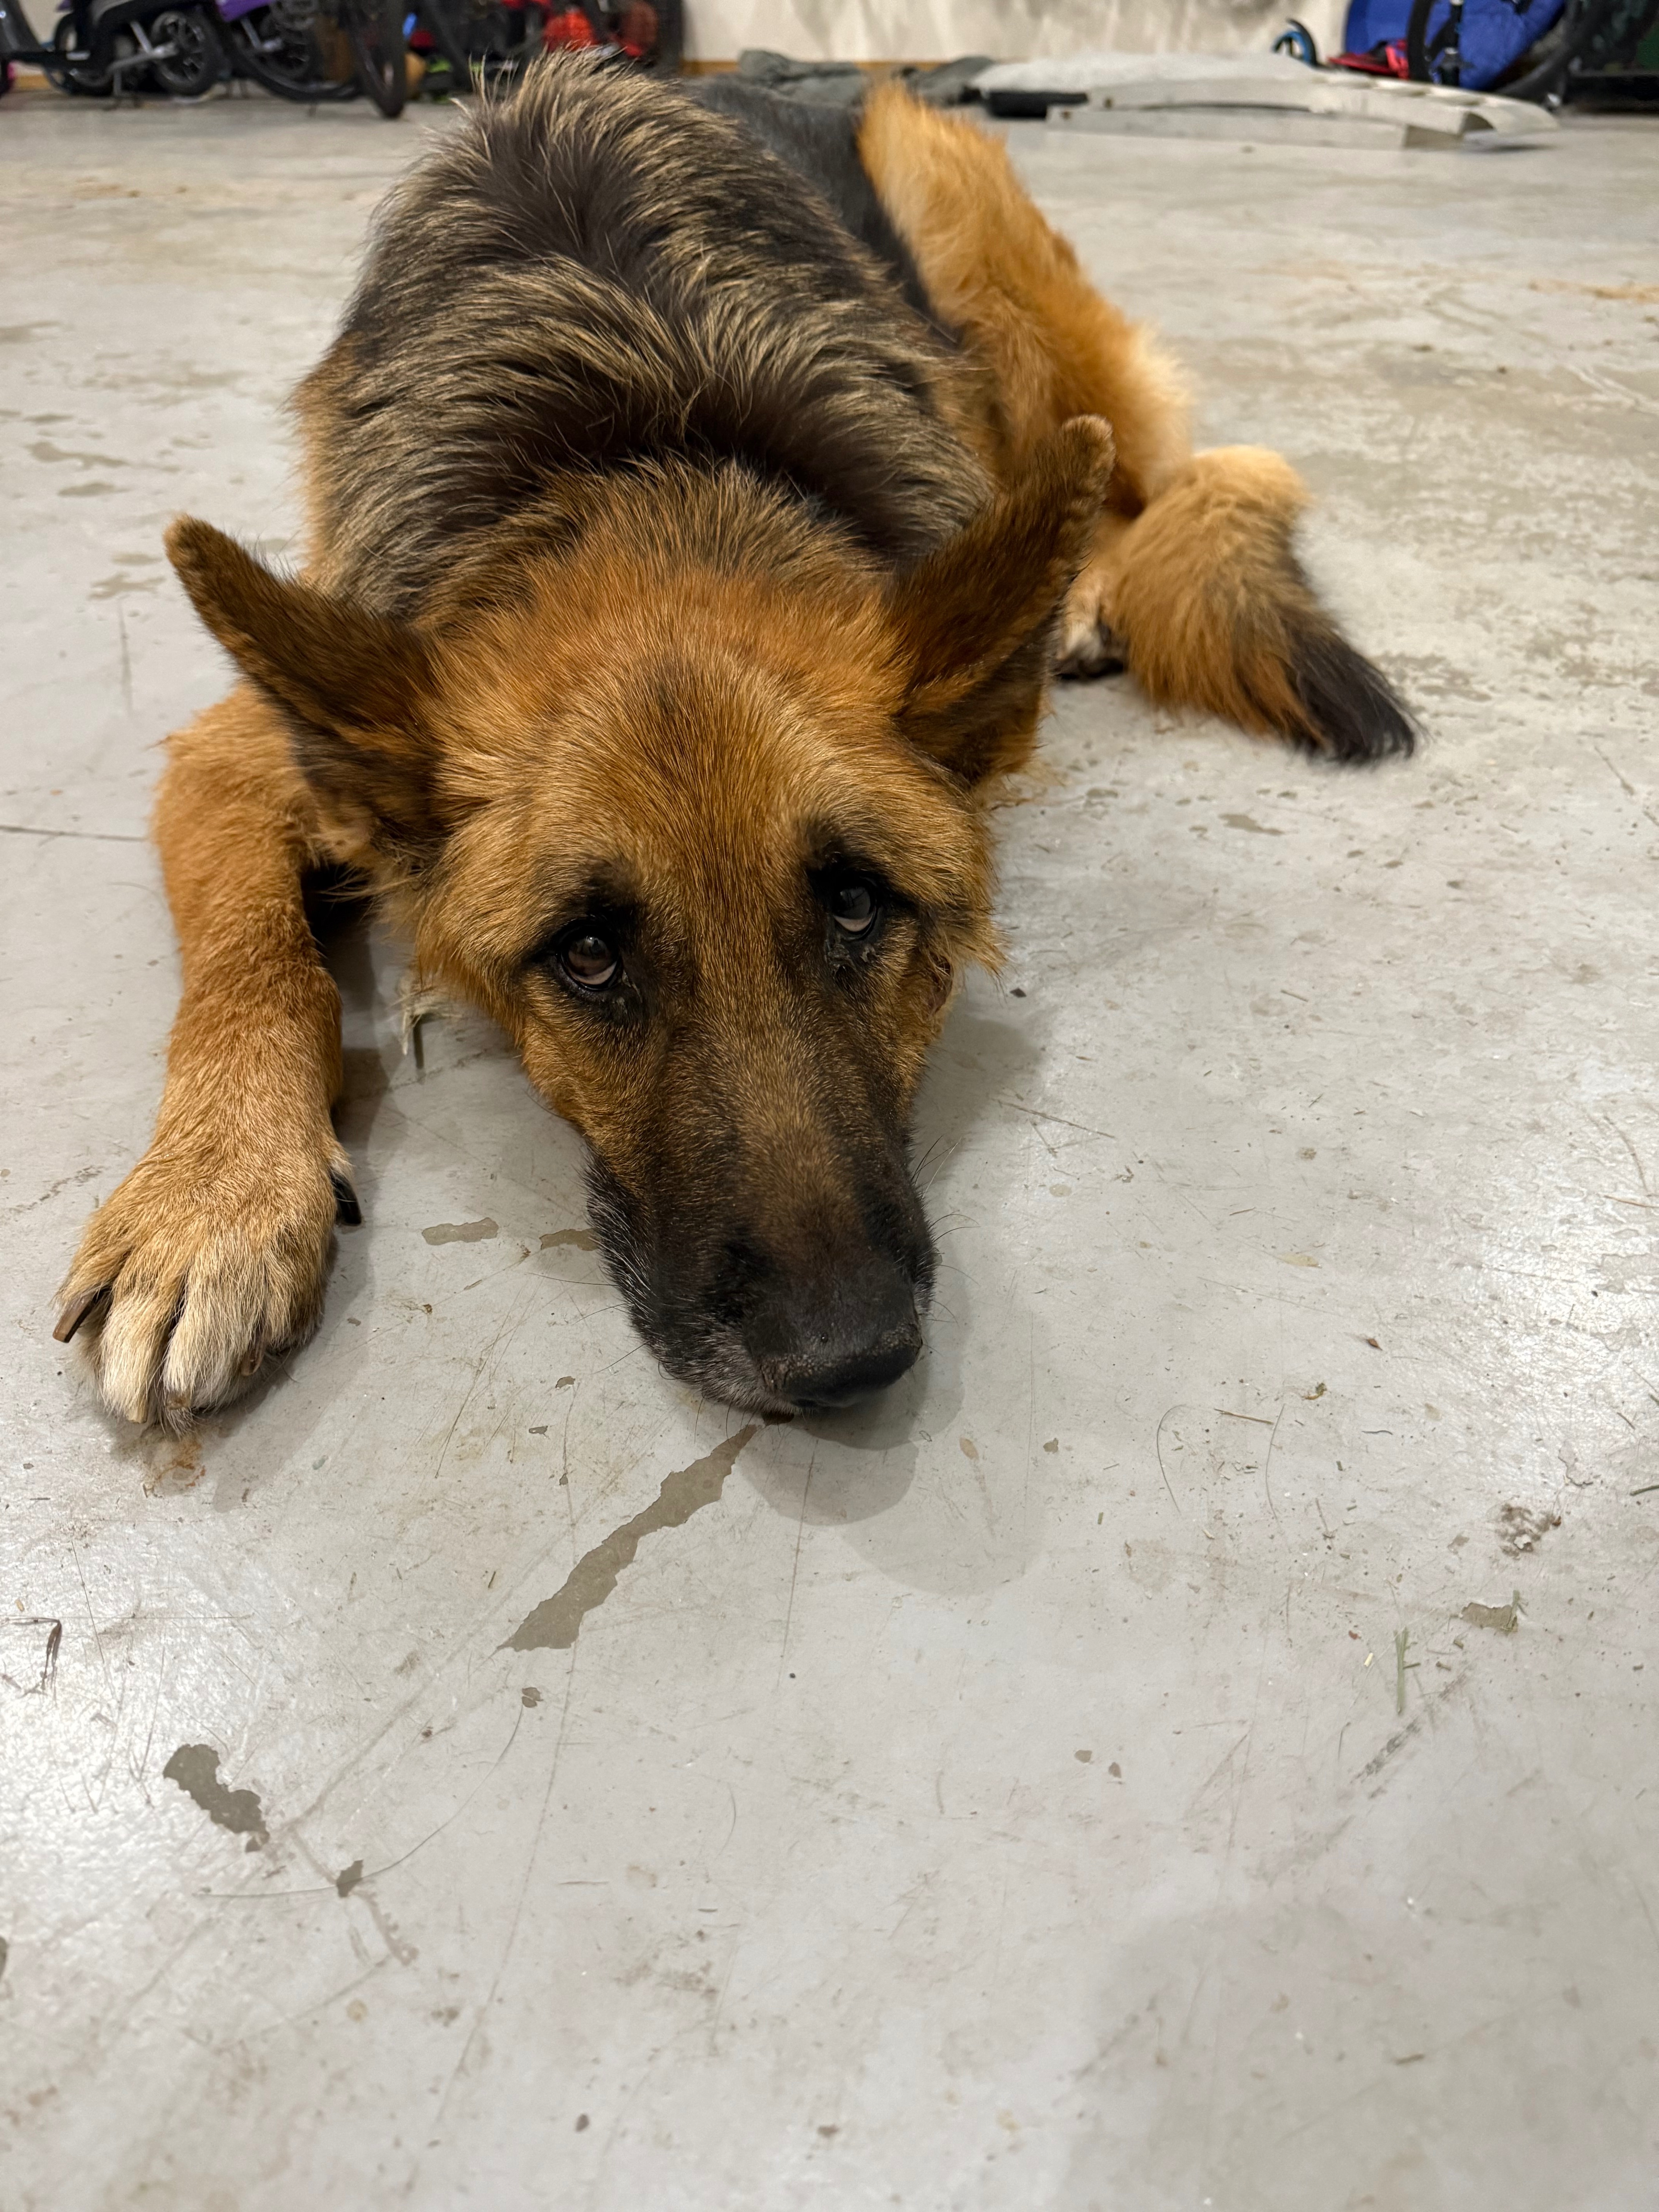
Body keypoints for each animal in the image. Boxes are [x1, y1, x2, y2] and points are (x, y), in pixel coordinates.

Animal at [55, 56, 1412, 1428]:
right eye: (588, 957)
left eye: (858, 906)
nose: (844, 1362)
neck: (640, 449)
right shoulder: (233, 757)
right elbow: (255, 959)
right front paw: (211, 1196)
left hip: (992, 284)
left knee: (1158, 487)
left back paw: (1079, 589)